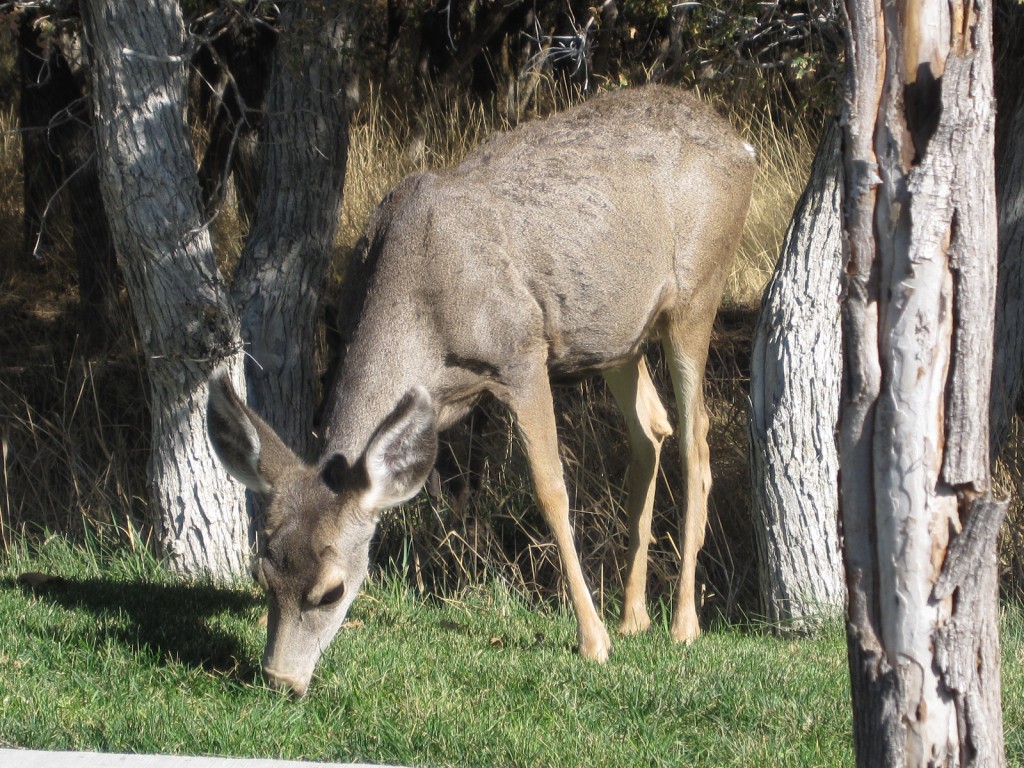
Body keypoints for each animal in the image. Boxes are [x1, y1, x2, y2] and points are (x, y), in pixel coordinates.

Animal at [207, 83, 757, 696]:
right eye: (262, 573)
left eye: (332, 590)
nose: (280, 678)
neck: (418, 296)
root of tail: (741, 143)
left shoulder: (522, 352)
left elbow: (550, 488)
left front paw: (591, 641)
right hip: (616, 337)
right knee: (651, 429)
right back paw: (633, 615)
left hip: (698, 293)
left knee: (695, 439)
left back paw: (682, 623)